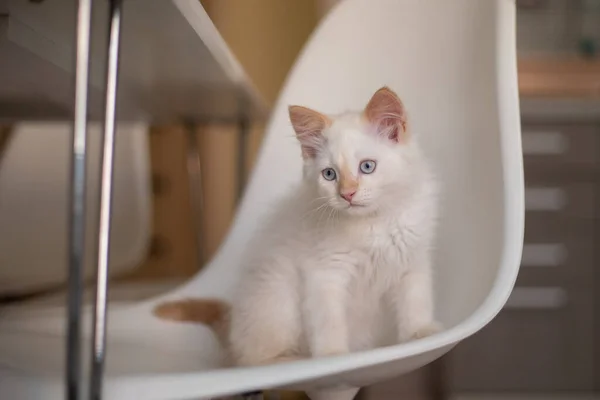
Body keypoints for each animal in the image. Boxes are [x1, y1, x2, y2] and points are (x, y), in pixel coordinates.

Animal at [155, 87, 438, 368]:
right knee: (255, 359)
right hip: (277, 298)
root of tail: (234, 321)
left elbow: (415, 302)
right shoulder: (324, 274)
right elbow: (329, 321)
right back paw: (291, 359)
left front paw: (420, 332)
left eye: (367, 166)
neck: (371, 224)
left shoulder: (411, 261)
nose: (347, 194)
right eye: (329, 174)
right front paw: (333, 355)